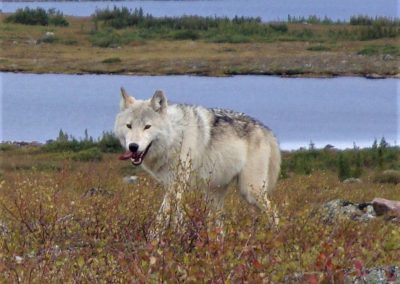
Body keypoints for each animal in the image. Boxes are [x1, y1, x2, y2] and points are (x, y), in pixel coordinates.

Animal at [113, 88, 282, 229]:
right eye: (129, 126)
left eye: (147, 126)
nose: (133, 147)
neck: (175, 136)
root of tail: (267, 129)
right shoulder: (172, 186)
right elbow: (176, 216)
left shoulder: (177, 185)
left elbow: (162, 217)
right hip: (215, 195)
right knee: (219, 225)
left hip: (250, 192)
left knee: (274, 214)